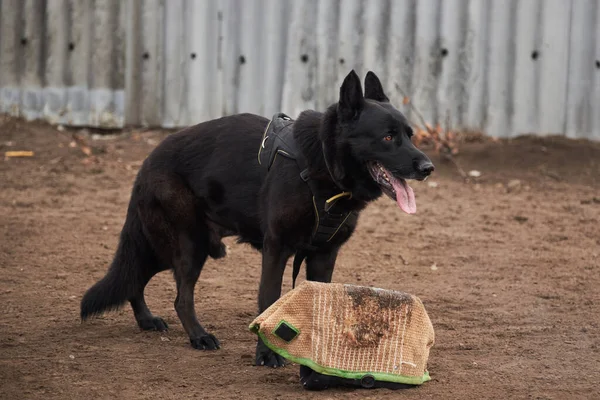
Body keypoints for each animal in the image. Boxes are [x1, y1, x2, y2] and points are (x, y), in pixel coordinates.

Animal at [82, 70, 434, 368]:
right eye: (387, 138)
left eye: (409, 135)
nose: (428, 168)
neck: (321, 163)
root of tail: (146, 162)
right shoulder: (276, 248)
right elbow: (268, 299)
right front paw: (266, 355)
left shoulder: (324, 255)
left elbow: (320, 303)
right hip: (189, 244)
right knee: (178, 296)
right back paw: (198, 336)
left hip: (173, 246)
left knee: (135, 276)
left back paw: (146, 320)